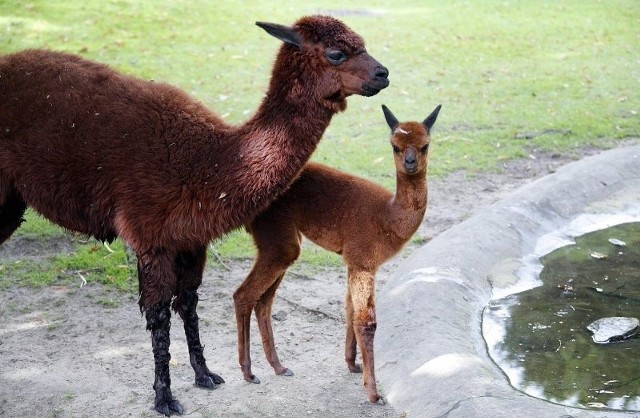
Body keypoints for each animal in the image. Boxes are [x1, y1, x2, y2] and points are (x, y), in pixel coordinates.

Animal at [234, 103, 440, 404]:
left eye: (425, 146)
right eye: (395, 146)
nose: (410, 163)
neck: (388, 217)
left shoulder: (358, 264)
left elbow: (350, 310)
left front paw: (352, 364)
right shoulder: (362, 261)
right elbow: (366, 322)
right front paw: (373, 393)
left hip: (282, 243)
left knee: (264, 301)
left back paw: (278, 366)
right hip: (277, 238)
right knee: (244, 295)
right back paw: (248, 372)